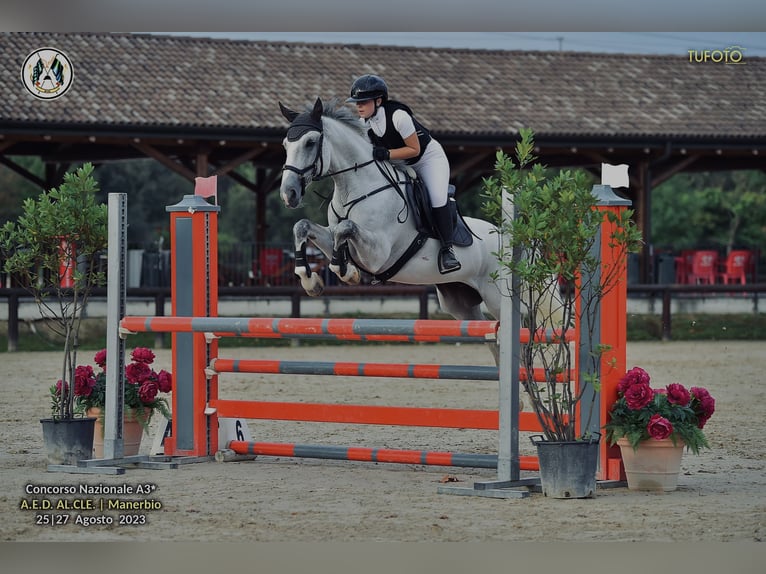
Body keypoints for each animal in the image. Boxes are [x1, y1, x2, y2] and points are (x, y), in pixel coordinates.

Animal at [280, 99, 508, 328]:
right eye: (285, 145)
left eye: (310, 142)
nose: (288, 193)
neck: (354, 190)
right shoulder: (332, 237)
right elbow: (303, 226)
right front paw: (310, 280)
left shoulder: (378, 254)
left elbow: (346, 228)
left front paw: (348, 272)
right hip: (459, 300)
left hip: (496, 297)